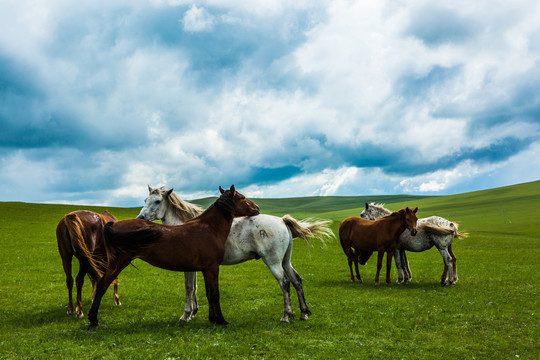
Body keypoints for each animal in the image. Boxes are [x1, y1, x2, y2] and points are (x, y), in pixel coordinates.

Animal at [87, 186, 260, 330]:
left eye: (157, 201)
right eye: (243, 197)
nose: (257, 208)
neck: (208, 229)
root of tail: (111, 224)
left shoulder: (202, 269)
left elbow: (205, 292)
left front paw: (211, 318)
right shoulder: (211, 268)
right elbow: (213, 294)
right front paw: (220, 320)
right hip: (117, 263)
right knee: (102, 285)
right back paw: (93, 321)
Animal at [137, 186, 334, 324]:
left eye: (157, 201)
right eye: (146, 199)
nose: (140, 218)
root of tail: (281, 220)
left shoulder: (191, 267)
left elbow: (189, 288)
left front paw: (186, 315)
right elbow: (194, 288)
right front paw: (193, 313)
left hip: (273, 262)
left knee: (284, 283)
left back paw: (286, 316)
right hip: (285, 261)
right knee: (296, 280)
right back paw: (303, 313)